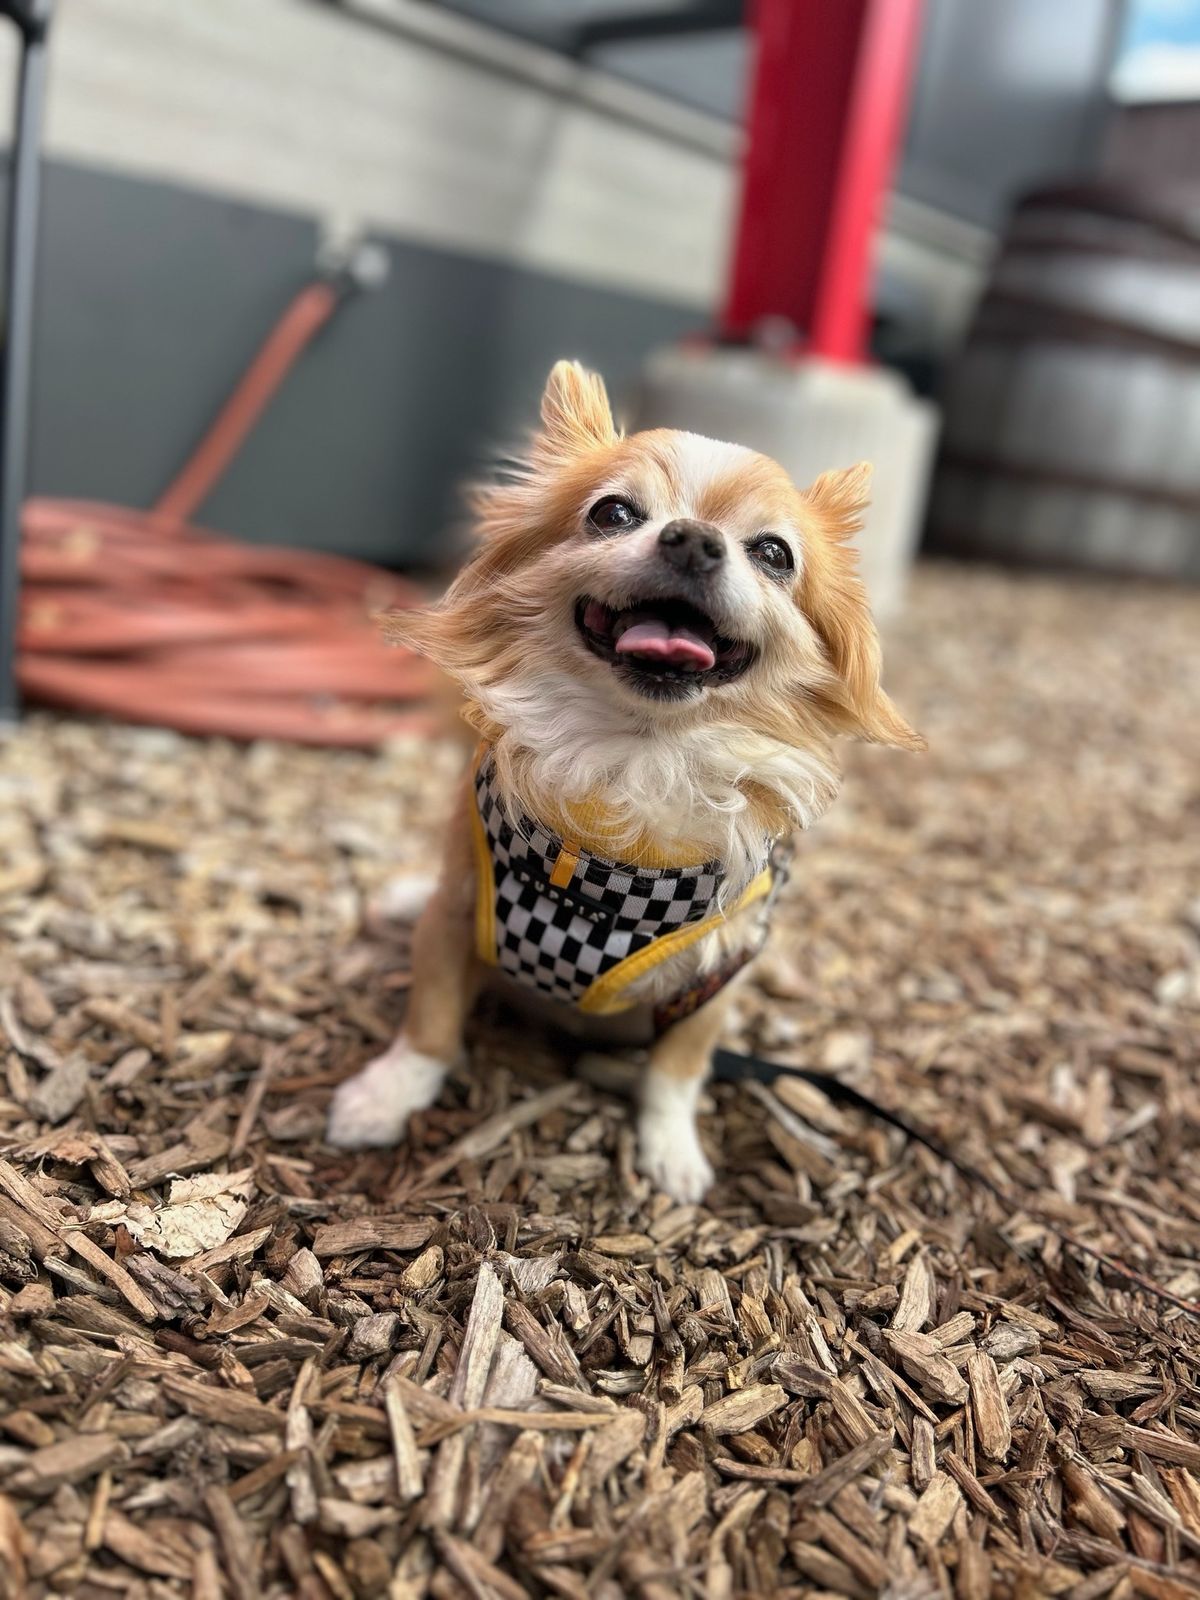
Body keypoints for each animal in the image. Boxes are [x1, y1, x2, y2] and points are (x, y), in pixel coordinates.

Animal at [329, 360, 921, 1203]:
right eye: (613, 513)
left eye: (774, 554)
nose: (694, 539)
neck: (635, 756)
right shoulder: (456, 920)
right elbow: (431, 1021)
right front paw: (386, 1095)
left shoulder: (716, 978)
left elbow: (676, 1072)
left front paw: (672, 1152)